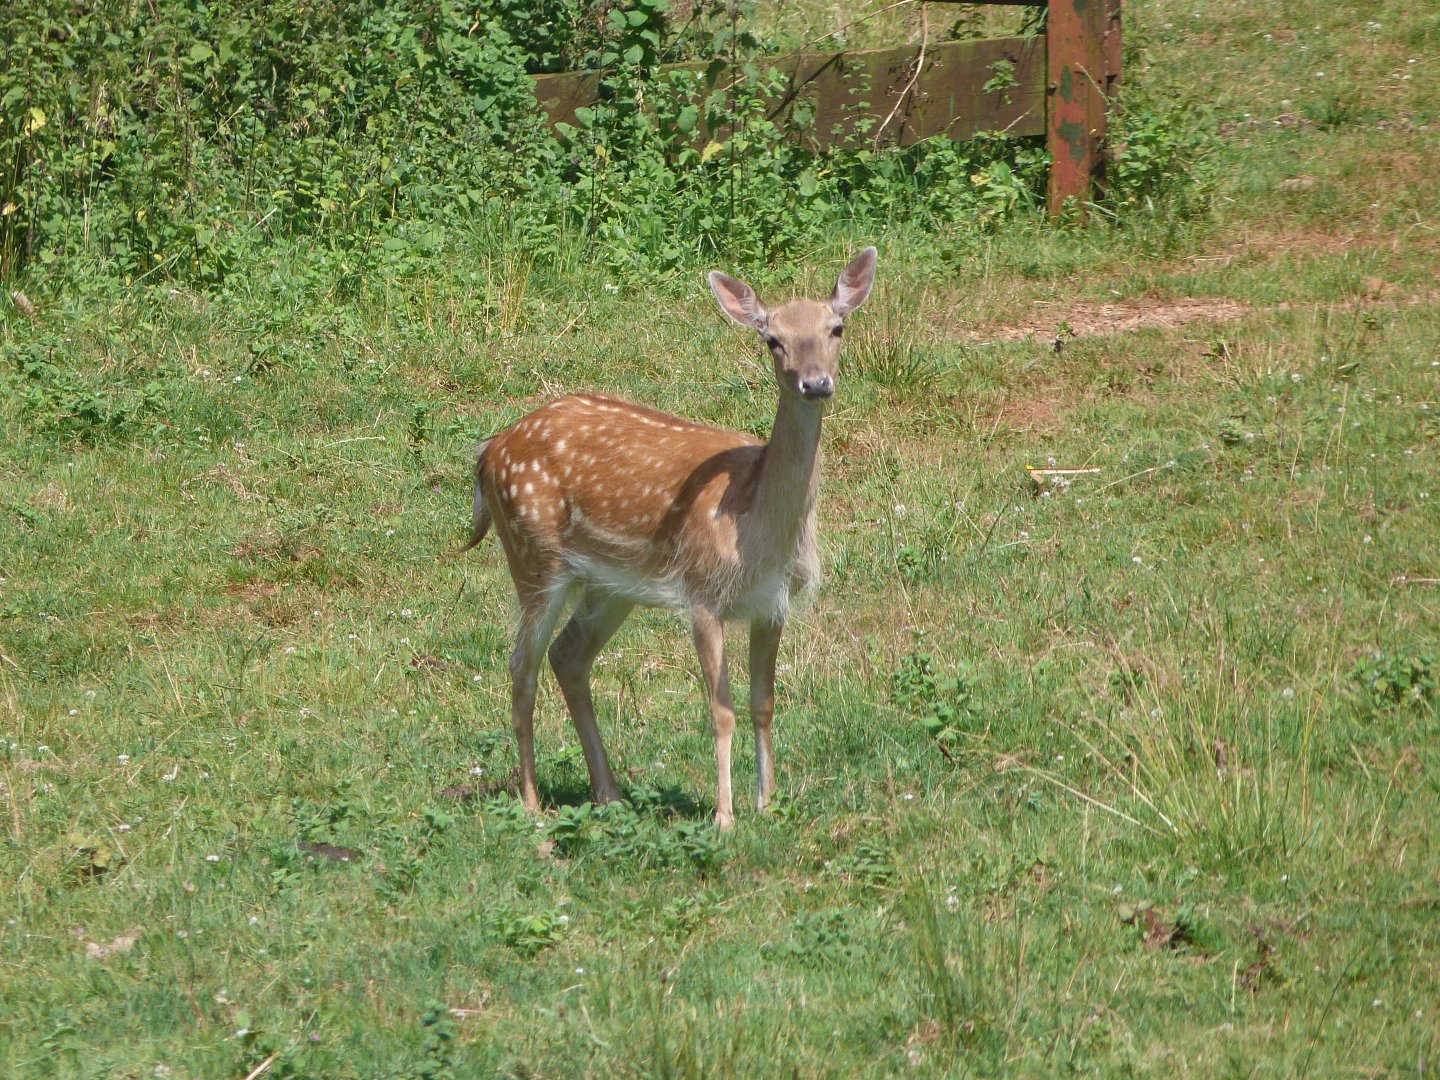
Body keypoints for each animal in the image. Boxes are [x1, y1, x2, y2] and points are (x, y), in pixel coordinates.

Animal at [460, 247, 877, 828]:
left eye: (836, 328)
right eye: (773, 339)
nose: (815, 383)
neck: (759, 527)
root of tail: (488, 451)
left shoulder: (773, 603)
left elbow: (763, 703)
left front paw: (768, 805)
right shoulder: (701, 593)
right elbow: (721, 710)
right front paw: (725, 818)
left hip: (612, 584)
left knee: (567, 655)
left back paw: (609, 793)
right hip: (533, 554)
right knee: (522, 665)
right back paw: (533, 804)